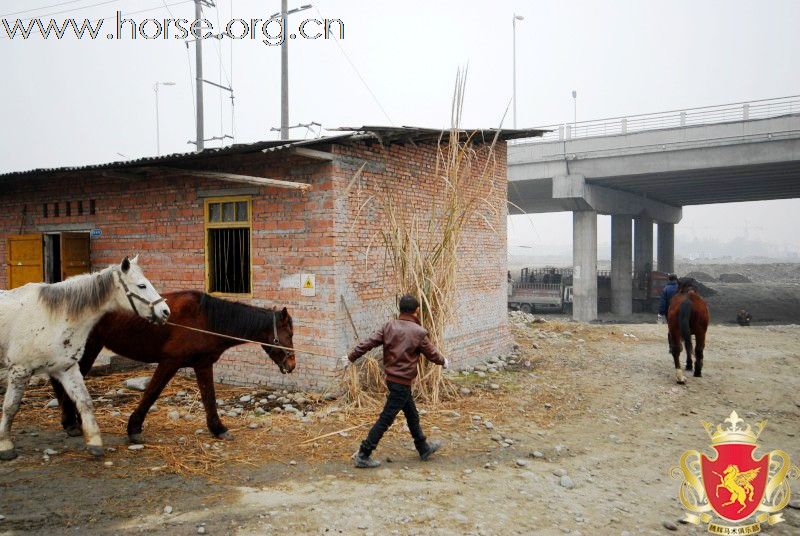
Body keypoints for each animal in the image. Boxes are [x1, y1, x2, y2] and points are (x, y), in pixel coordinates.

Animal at [0, 255, 169, 460]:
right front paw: (5, 445)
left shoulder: (66, 368)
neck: (53, 317)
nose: (165, 312)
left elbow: (85, 401)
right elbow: (10, 407)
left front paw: (94, 442)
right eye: (141, 285)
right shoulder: (20, 370)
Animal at [52, 292, 296, 442]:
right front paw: (134, 428)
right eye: (290, 334)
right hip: (87, 349)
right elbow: (152, 392)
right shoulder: (170, 362)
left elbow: (209, 398)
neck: (205, 320)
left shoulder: (203, 364)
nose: (292, 364)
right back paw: (71, 423)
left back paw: (71, 422)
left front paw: (218, 429)